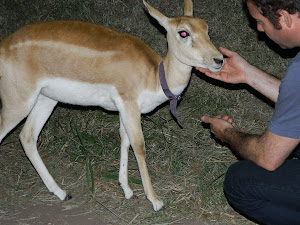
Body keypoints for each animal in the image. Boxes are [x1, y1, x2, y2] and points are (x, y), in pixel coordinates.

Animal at [0, 0, 223, 211]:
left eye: (206, 28)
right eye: (183, 32)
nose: (219, 59)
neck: (154, 75)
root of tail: (3, 46)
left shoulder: (124, 108)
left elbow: (124, 139)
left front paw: (127, 189)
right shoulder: (130, 103)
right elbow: (139, 145)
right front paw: (156, 200)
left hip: (45, 100)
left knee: (27, 136)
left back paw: (61, 192)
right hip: (18, 102)